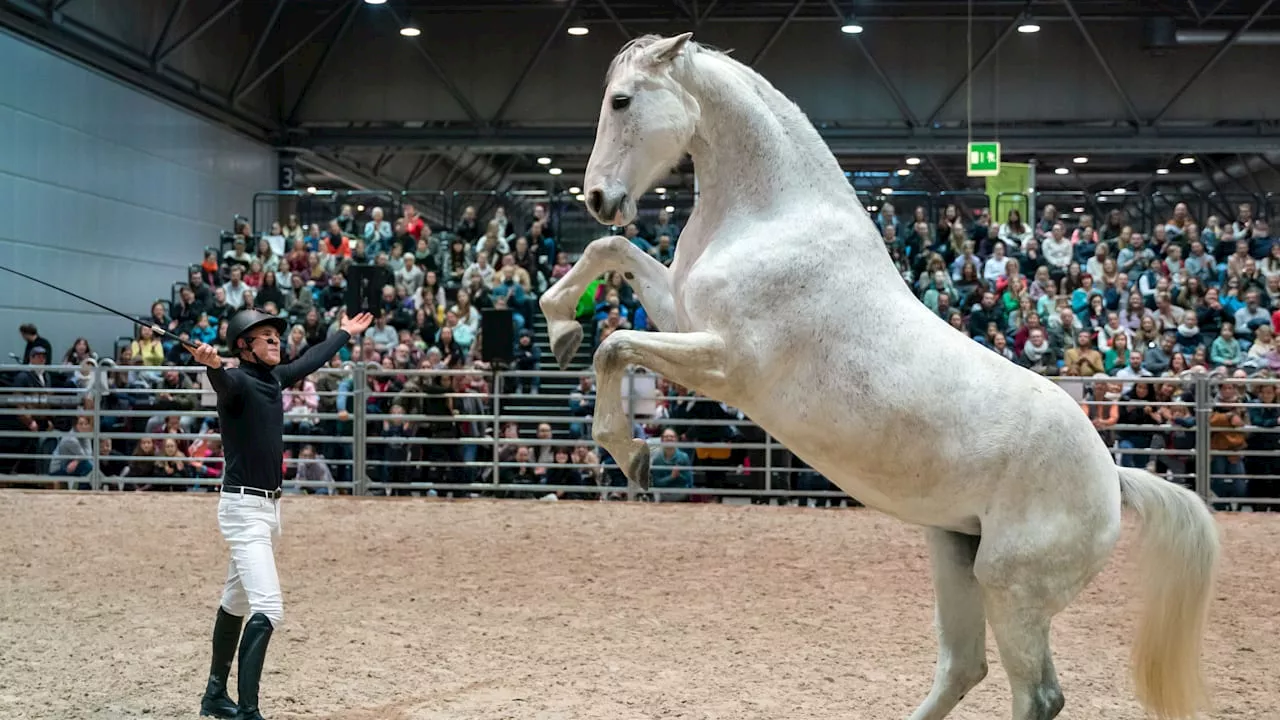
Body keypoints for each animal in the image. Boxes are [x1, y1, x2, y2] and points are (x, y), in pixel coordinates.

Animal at [537, 32, 1218, 717]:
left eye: (622, 101)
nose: (598, 200)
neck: (774, 219)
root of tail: (1113, 480)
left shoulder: (725, 363)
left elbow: (614, 346)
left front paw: (631, 454)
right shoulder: (680, 314)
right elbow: (609, 254)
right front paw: (561, 326)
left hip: (1012, 590)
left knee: (1037, 696)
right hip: (954, 553)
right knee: (963, 667)